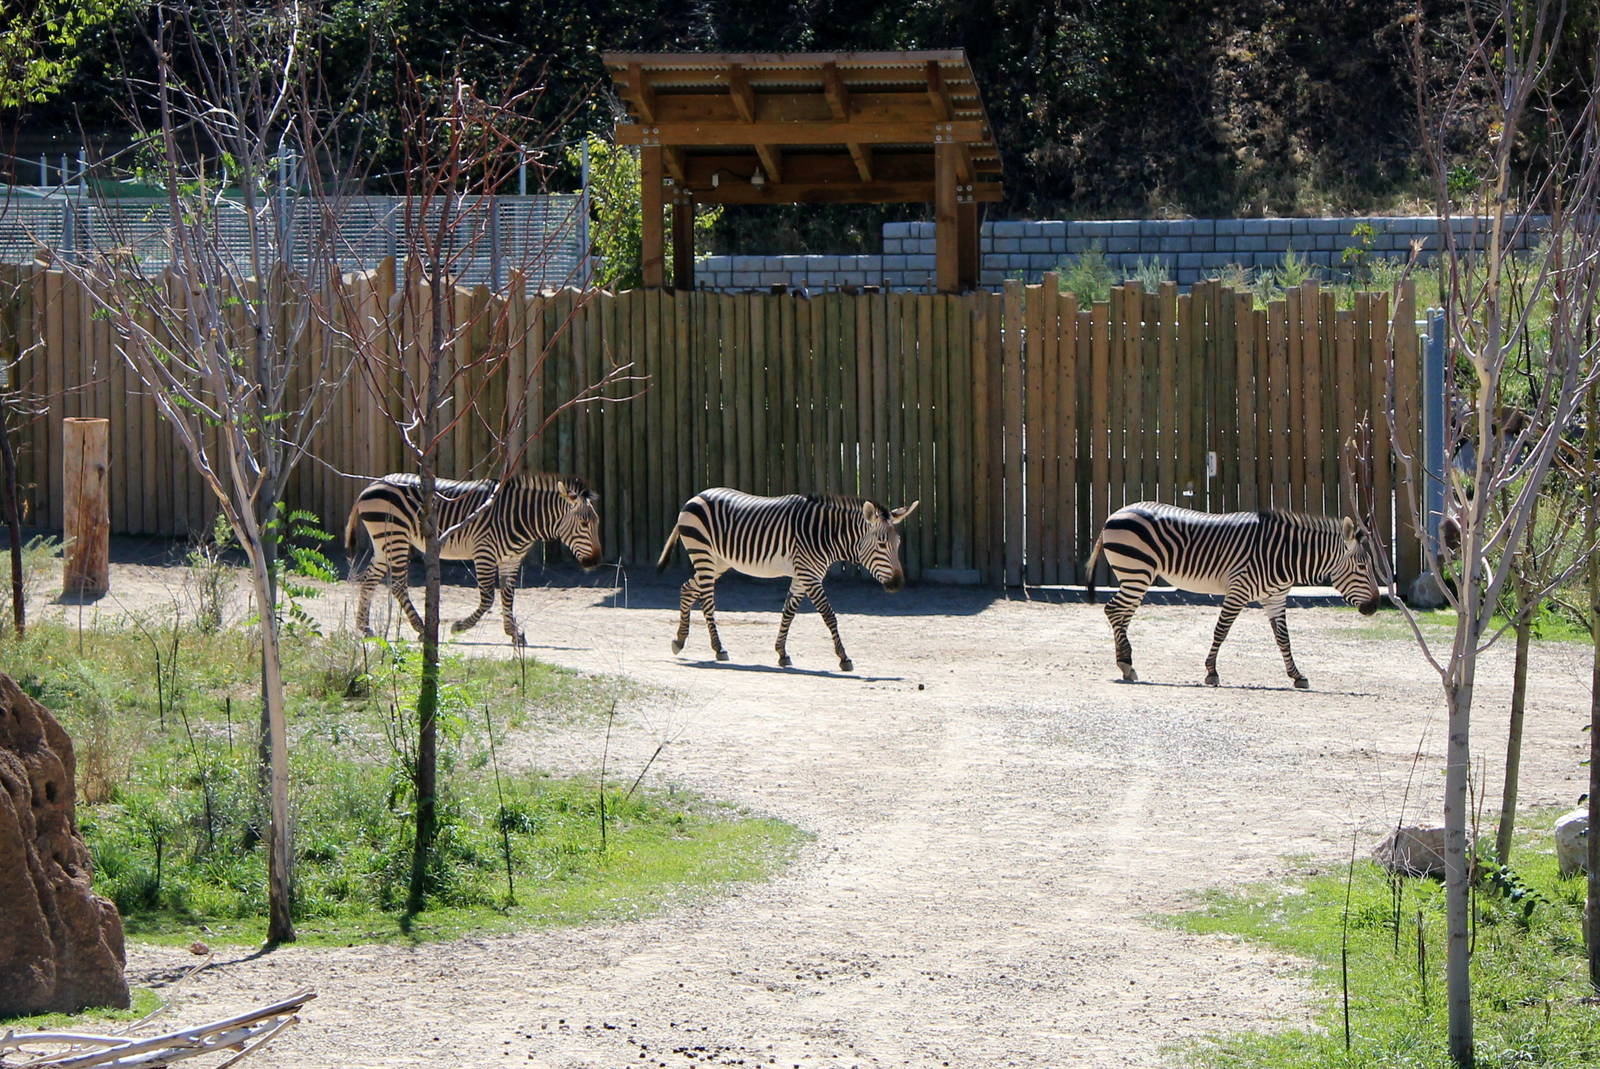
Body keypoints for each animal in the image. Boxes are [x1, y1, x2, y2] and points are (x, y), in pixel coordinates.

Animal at [345, 472, 602, 646]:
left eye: (596, 523)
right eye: (584, 524)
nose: (595, 562)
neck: (522, 518)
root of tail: (373, 484)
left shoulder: (511, 559)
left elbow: (508, 597)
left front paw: (513, 633)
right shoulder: (484, 553)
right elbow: (488, 598)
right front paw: (460, 626)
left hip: (383, 542)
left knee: (369, 579)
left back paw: (364, 627)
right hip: (394, 537)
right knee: (398, 585)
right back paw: (421, 628)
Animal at [656, 488, 920, 671]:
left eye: (898, 543)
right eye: (882, 544)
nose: (897, 585)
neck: (826, 535)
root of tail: (696, 496)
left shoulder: (802, 575)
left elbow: (788, 612)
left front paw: (781, 653)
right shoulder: (810, 575)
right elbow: (829, 616)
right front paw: (844, 657)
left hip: (719, 562)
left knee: (688, 588)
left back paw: (679, 640)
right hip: (703, 554)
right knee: (707, 600)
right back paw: (718, 648)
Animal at [1086, 502, 1381, 688]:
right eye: (1362, 567)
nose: (1375, 606)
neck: (1284, 555)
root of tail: (1115, 513)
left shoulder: (1275, 598)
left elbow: (1283, 639)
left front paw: (1296, 675)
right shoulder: (1238, 590)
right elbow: (1221, 631)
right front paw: (1211, 672)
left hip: (1135, 576)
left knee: (1122, 615)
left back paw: (1125, 664)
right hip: (1137, 572)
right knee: (1114, 611)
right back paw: (1126, 665)